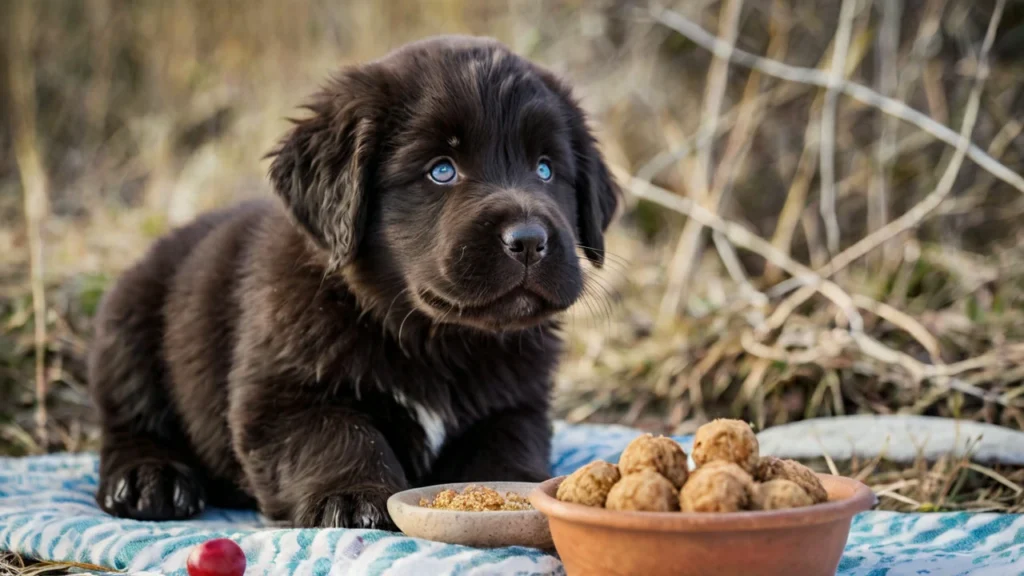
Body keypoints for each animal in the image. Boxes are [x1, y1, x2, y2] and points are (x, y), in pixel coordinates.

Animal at [90, 35, 614, 528]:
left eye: (545, 169)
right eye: (441, 170)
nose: (528, 241)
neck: (433, 340)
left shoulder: (516, 401)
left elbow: (506, 442)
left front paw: (519, 493)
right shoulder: (278, 397)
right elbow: (339, 433)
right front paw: (352, 495)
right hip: (129, 324)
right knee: (130, 420)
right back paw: (149, 478)